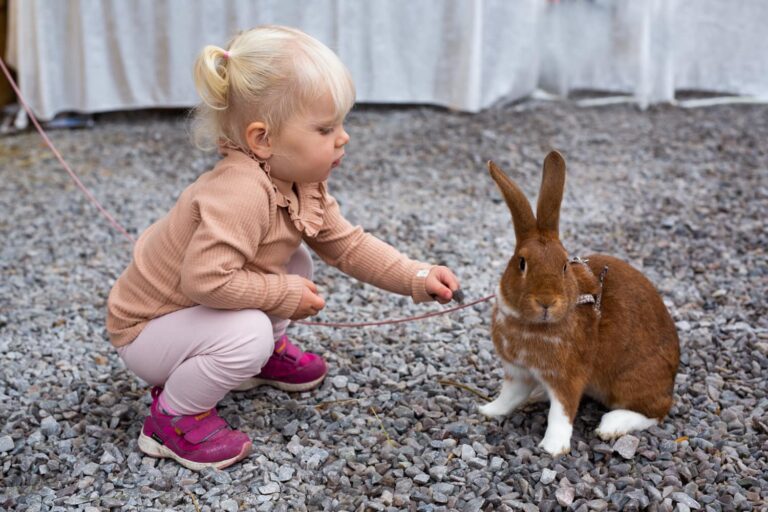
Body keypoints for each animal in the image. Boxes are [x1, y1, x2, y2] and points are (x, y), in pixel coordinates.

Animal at [480, 151, 680, 456]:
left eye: (564, 265)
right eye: (521, 263)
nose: (546, 301)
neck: (531, 324)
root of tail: (671, 378)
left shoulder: (567, 377)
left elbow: (561, 413)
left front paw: (552, 448)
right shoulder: (518, 373)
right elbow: (508, 397)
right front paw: (488, 410)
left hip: (631, 380)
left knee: (655, 412)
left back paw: (611, 425)